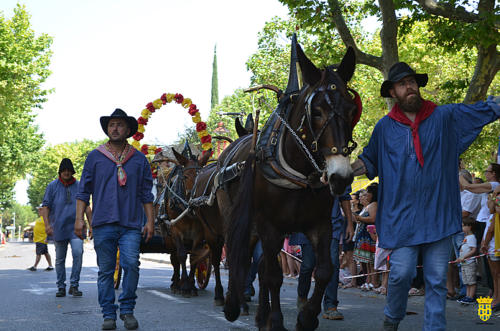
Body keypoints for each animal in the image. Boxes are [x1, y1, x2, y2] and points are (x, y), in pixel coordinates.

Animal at [220, 38, 360, 330]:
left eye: (352, 110)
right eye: (316, 111)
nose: (340, 177)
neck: (298, 172)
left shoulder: (320, 225)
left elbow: (325, 270)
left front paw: (306, 316)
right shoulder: (269, 226)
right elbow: (273, 275)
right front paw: (276, 321)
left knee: (259, 263)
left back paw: (260, 314)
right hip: (239, 219)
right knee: (239, 254)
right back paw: (233, 304)